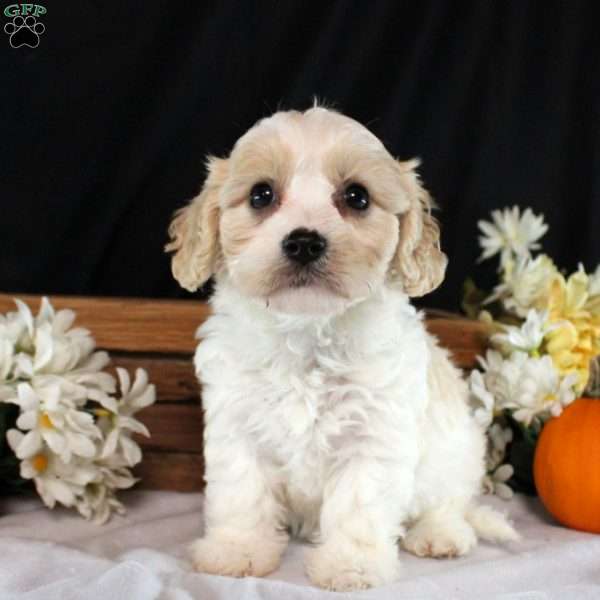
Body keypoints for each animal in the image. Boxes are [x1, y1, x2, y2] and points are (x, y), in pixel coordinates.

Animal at [164, 106, 516, 592]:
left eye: (357, 197)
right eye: (261, 195)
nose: (304, 241)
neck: (308, 332)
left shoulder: (373, 437)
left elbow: (358, 506)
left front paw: (353, 565)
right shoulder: (237, 427)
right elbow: (242, 494)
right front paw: (237, 550)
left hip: (456, 453)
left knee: (448, 502)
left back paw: (440, 534)